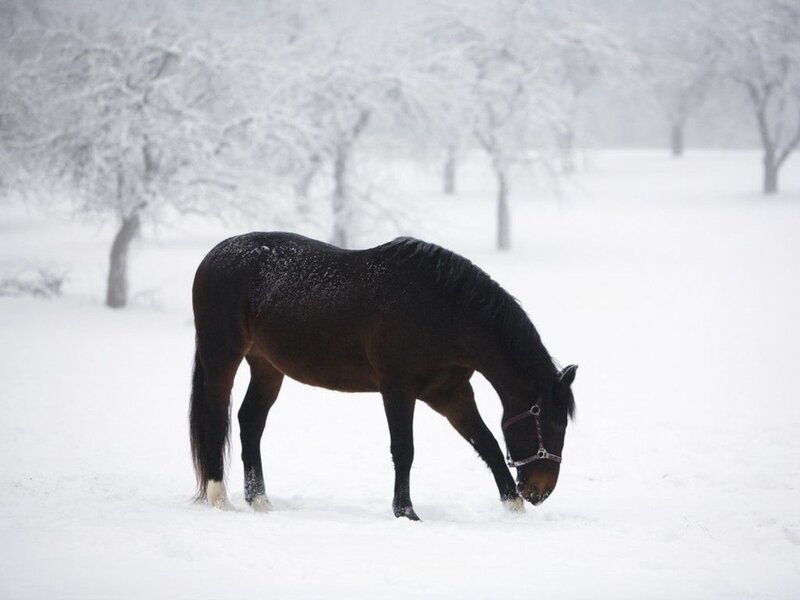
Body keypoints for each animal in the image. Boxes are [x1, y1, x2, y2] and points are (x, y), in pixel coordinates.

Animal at [189, 232, 577, 520]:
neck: (442, 312)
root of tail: (212, 256)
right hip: (222, 357)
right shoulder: (397, 388)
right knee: (215, 419)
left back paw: (260, 501)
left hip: (267, 366)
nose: (540, 491)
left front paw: (514, 507)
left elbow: (487, 443)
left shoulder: (450, 393)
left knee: (250, 421)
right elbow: (404, 449)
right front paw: (406, 512)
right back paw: (220, 498)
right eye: (555, 424)